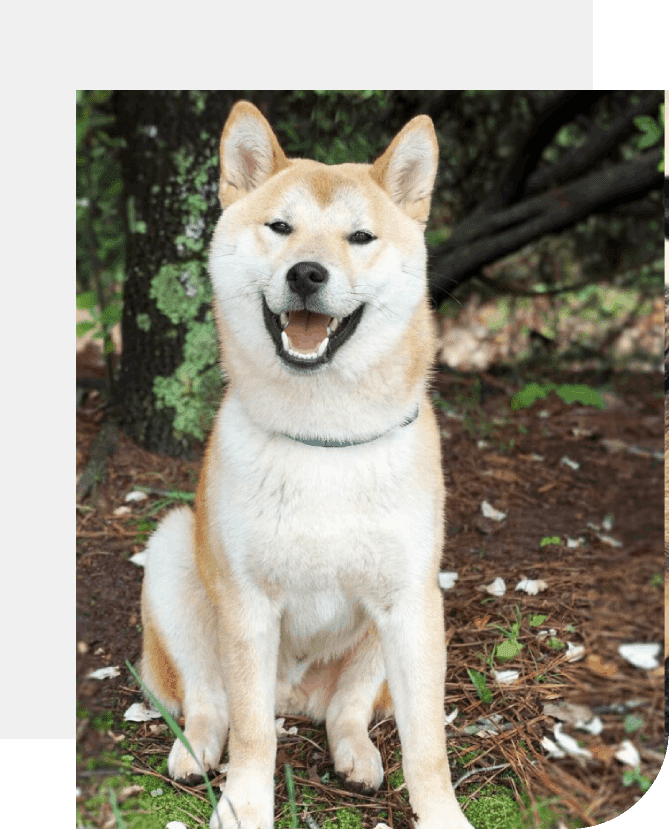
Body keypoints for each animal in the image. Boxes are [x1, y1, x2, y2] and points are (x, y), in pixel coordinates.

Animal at [140, 103, 478, 828]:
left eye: (360, 236)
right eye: (281, 227)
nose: (307, 273)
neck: (324, 436)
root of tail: (294, 695)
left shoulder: (410, 600)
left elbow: (427, 745)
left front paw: (441, 814)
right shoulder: (247, 604)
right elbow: (251, 732)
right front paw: (243, 805)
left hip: (401, 618)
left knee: (345, 711)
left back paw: (356, 757)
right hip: (175, 555)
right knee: (211, 701)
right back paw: (196, 751)